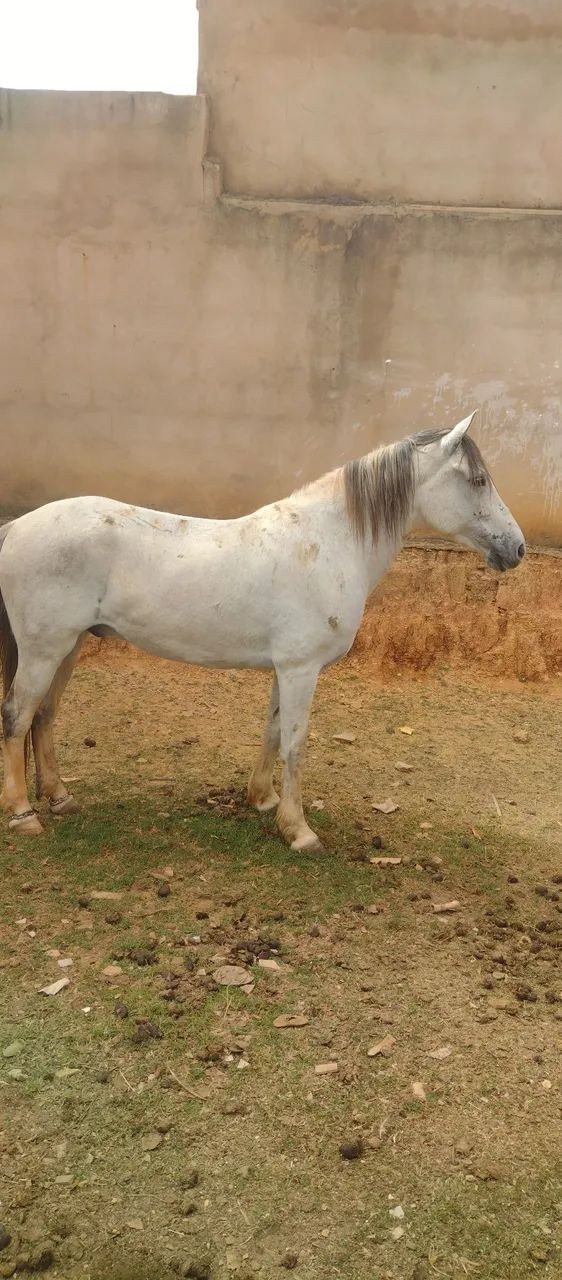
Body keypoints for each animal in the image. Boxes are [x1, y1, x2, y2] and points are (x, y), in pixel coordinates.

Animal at [0, 411, 525, 848]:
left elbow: (272, 731)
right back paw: (25, 815)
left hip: (69, 645)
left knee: (44, 715)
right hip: (44, 649)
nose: (516, 548)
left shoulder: (285, 669)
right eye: (478, 480)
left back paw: (60, 797)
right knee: (17, 716)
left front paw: (263, 800)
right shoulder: (300, 669)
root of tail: (17, 526)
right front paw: (299, 831)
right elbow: (295, 741)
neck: (327, 541)